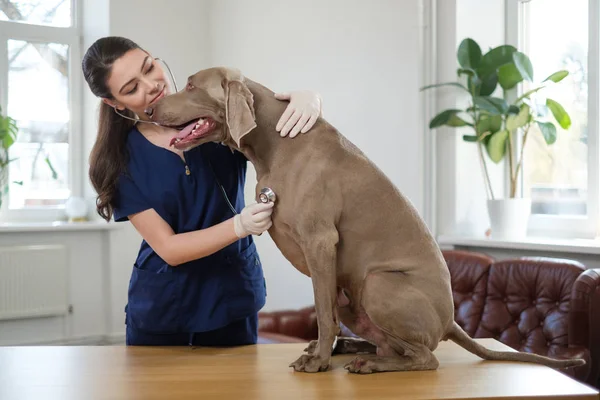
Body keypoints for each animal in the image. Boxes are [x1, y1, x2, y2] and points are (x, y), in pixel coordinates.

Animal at [148, 67, 584, 374]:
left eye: (191, 85)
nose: (149, 109)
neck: (275, 142)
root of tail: (450, 322)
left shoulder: (320, 241)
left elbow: (323, 315)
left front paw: (318, 361)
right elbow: (325, 311)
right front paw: (321, 351)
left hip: (377, 283)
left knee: (426, 356)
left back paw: (368, 362)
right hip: (353, 293)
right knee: (389, 341)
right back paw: (360, 351)